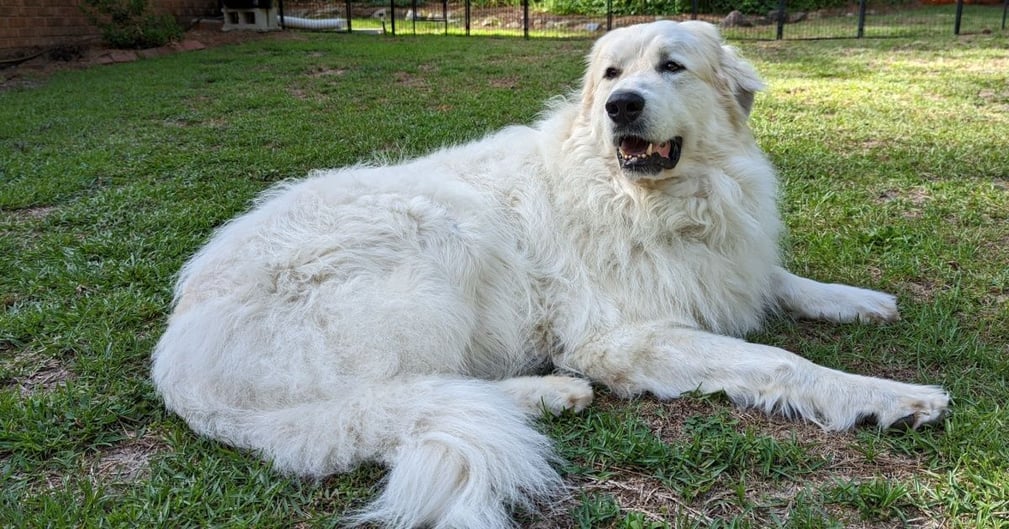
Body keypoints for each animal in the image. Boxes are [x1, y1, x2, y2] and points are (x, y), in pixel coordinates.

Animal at [149, 20, 944, 529]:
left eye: (671, 66)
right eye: (612, 74)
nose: (622, 105)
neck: (654, 198)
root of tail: (178, 362)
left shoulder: (724, 264)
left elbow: (778, 279)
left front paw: (858, 300)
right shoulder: (620, 338)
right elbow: (778, 361)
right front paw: (888, 395)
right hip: (435, 237)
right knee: (399, 399)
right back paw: (548, 392)